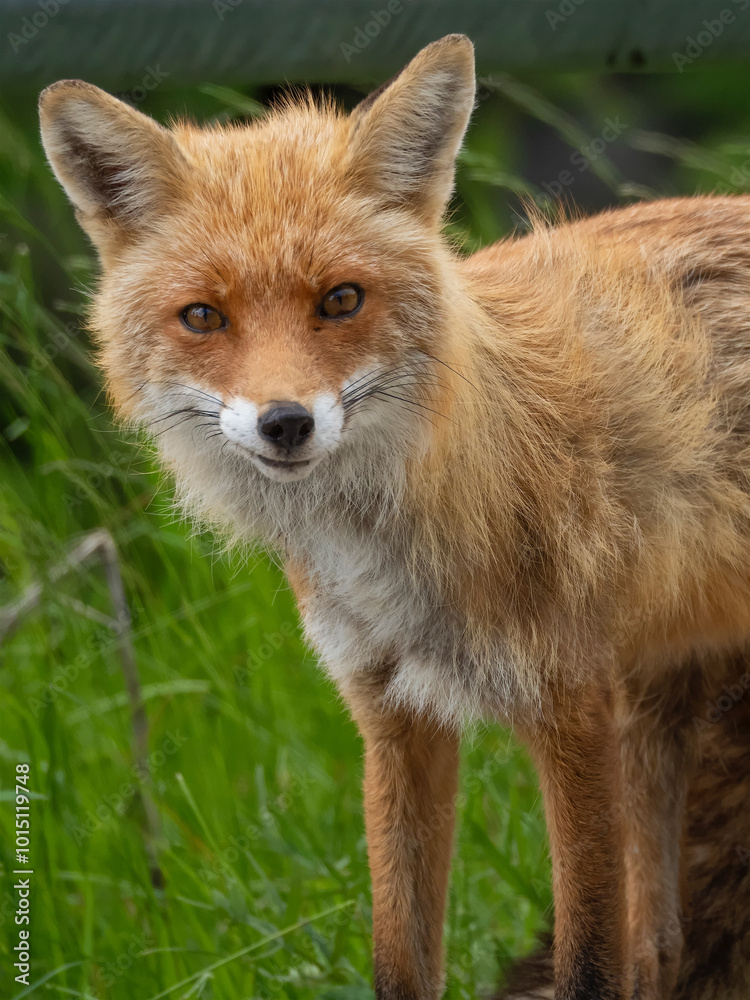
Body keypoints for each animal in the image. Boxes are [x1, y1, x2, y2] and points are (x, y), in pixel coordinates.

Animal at [38, 33, 750, 1000]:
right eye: (203, 316)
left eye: (341, 299)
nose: (286, 422)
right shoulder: (389, 711)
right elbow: (402, 958)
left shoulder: (572, 708)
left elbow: (589, 964)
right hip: (656, 707)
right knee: (663, 947)